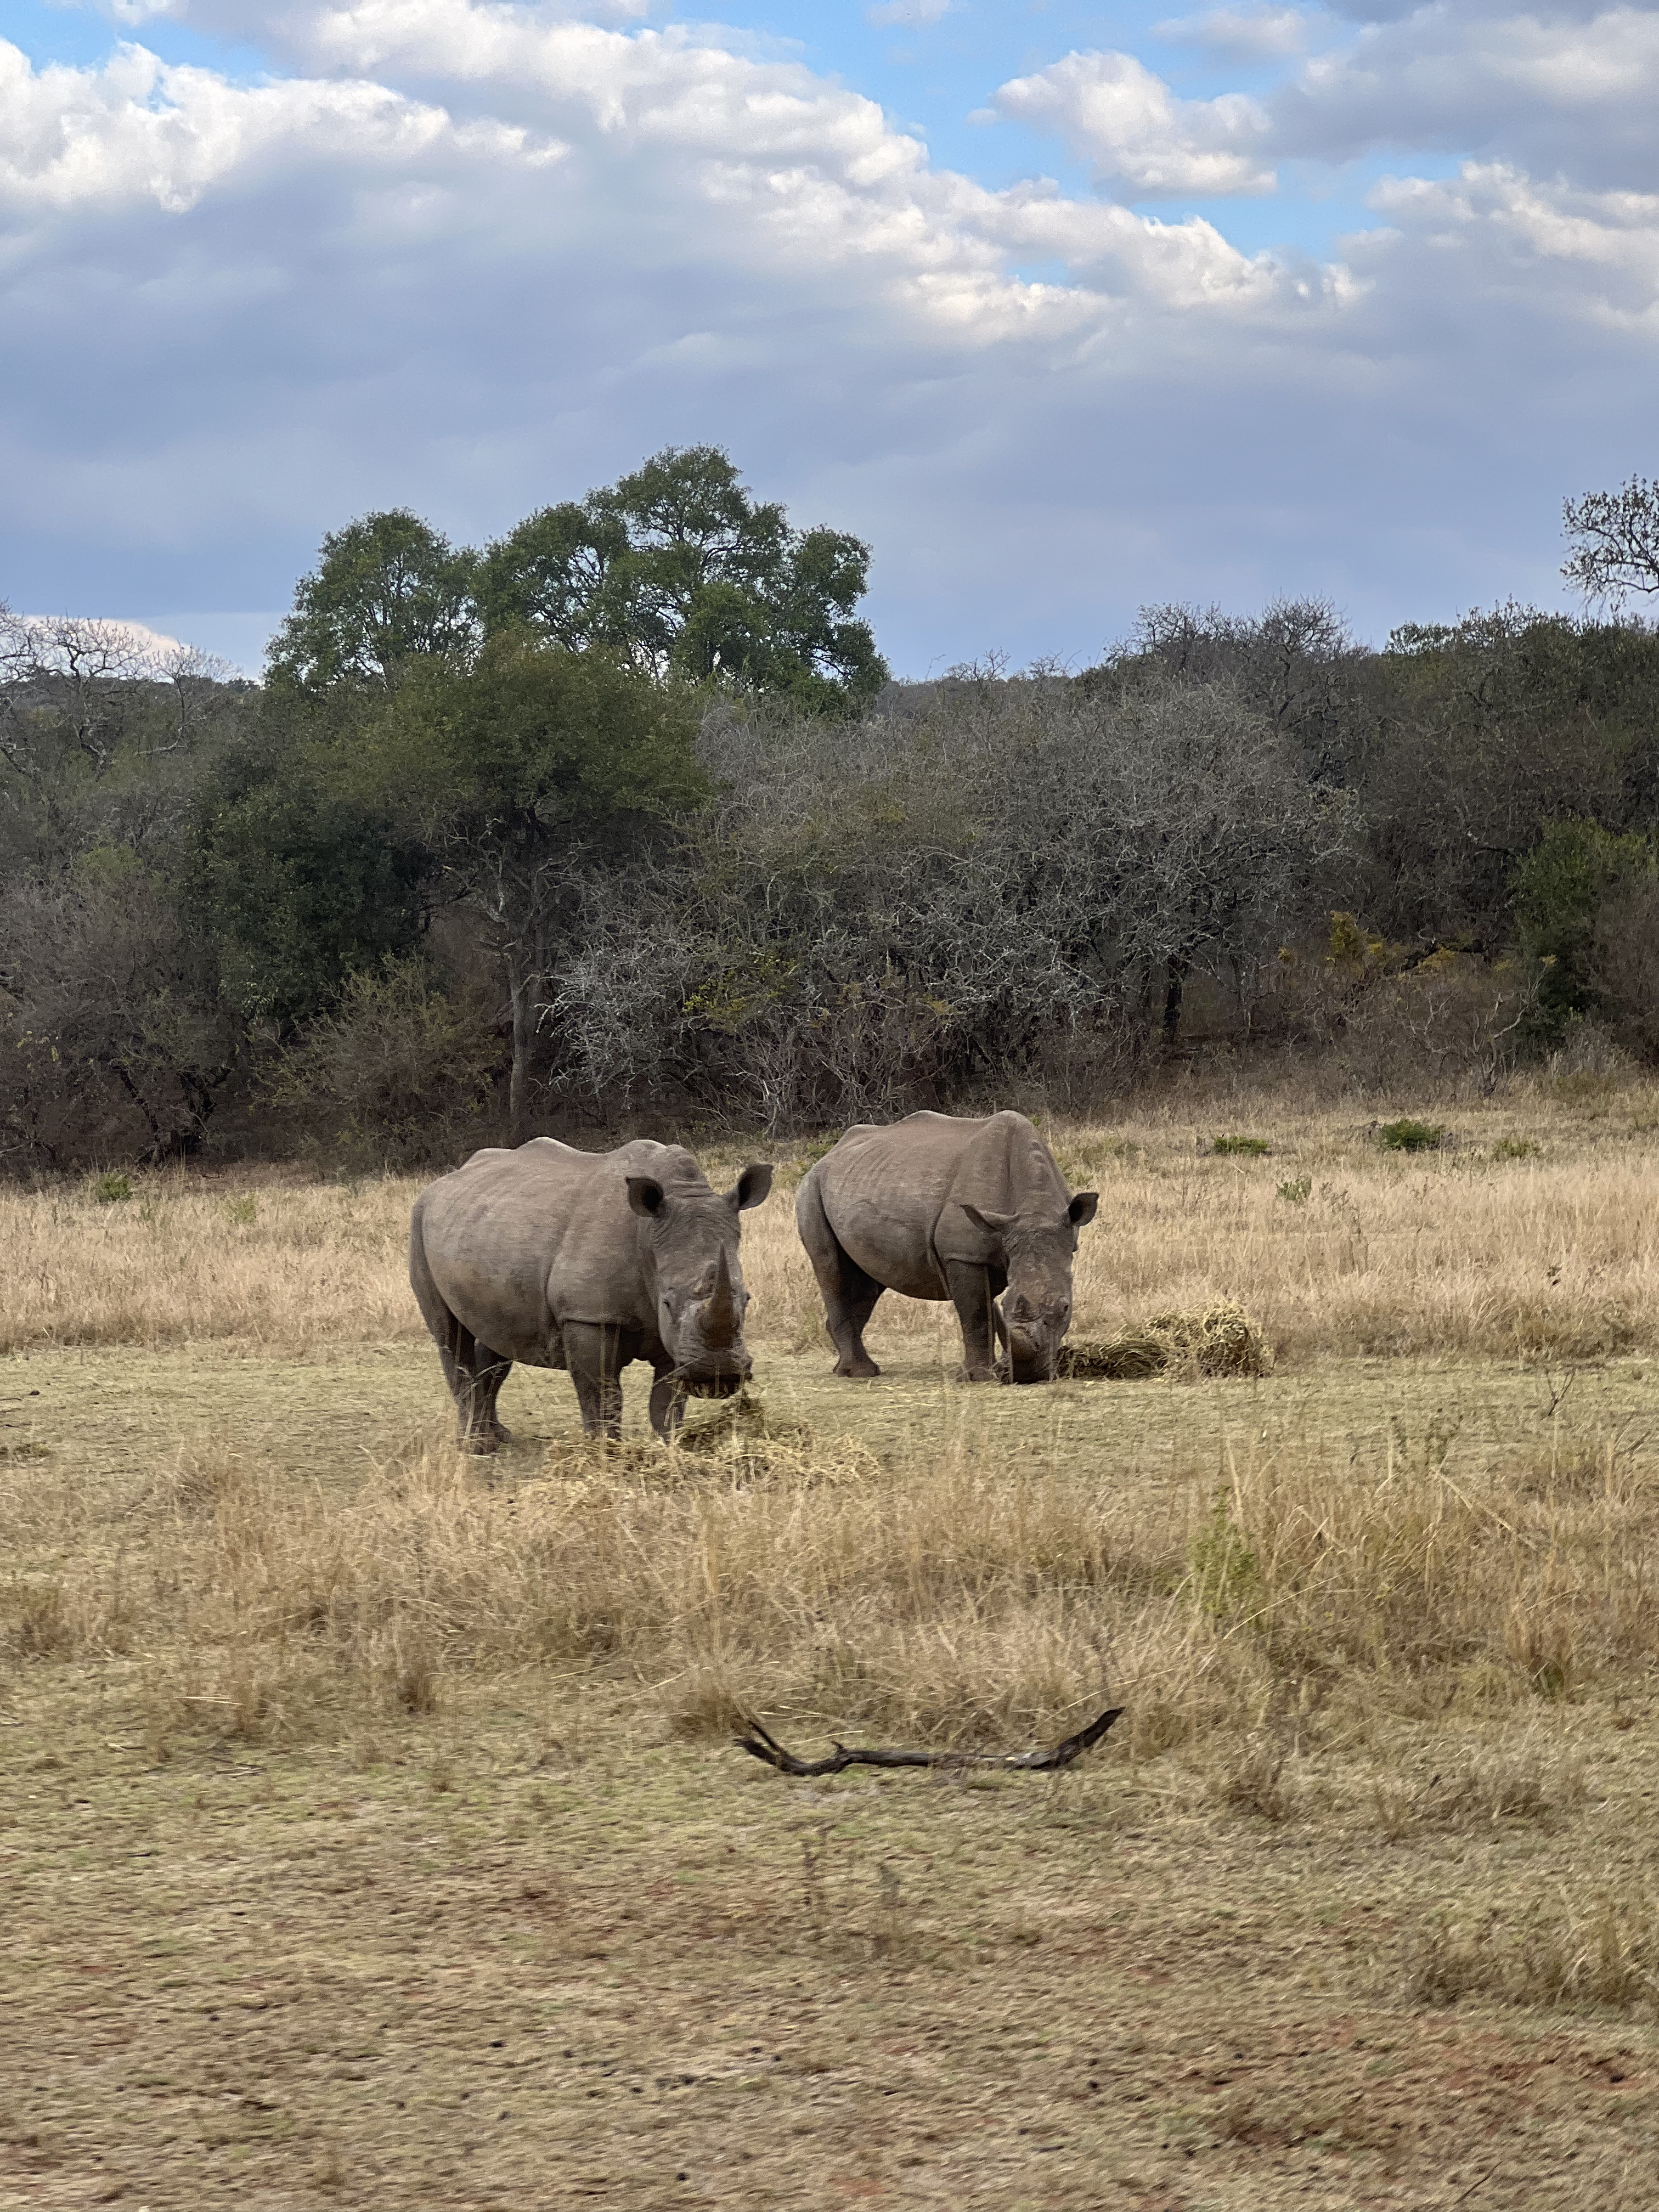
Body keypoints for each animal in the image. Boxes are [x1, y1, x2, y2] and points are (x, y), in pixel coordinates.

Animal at [410, 1138, 773, 1447]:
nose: (718, 1374)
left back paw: (499, 1438)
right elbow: (602, 1396)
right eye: (667, 1302)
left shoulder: (678, 1342)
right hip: (419, 1222)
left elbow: (667, 1404)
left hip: (484, 1227)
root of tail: (440, 1183)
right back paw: (476, 1446)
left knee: (496, 1340)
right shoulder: (588, 1316)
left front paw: (671, 1451)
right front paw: (606, 1456)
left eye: (747, 1299)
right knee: (450, 1337)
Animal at [796, 1110, 1098, 1384]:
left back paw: (845, 1367)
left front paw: (997, 1370)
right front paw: (980, 1377)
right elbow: (977, 1314)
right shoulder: (963, 1255)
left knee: (868, 1282)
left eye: (1066, 1308)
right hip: (811, 1188)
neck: (1035, 1211)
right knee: (831, 1269)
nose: (1029, 1377)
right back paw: (859, 1373)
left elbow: (986, 1310)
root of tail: (828, 1156)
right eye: (1009, 1305)